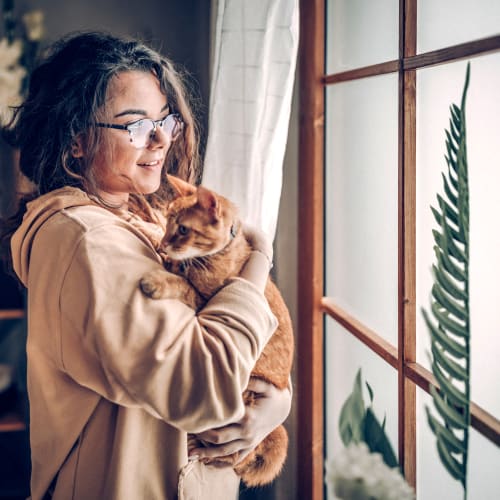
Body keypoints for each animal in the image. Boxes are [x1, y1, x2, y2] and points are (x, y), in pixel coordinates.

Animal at [139, 175, 294, 484]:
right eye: (169, 222)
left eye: (183, 229)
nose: (164, 244)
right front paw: (148, 230)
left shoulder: (204, 303)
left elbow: (181, 284)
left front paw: (157, 280)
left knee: (231, 457)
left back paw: (200, 449)